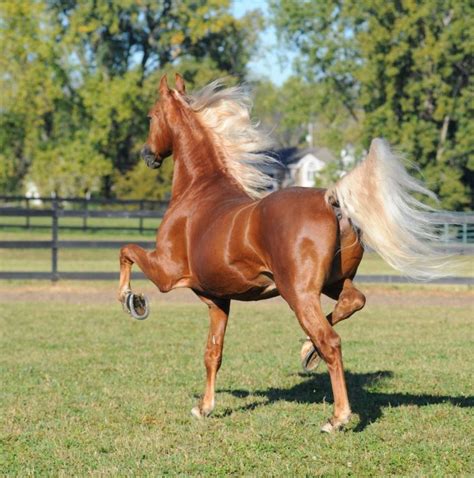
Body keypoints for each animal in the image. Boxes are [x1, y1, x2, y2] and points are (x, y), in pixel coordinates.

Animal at [118, 74, 444, 434]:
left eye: (151, 116)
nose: (148, 154)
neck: (198, 192)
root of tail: (330, 199)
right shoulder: (217, 300)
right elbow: (213, 352)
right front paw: (204, 408)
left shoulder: (166, 273)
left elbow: (127, 251)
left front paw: (133, 301)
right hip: (330, 283)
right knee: (352, 302)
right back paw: (307, 352)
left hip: (297, 293)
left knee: (332, 340)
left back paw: (337, 417)